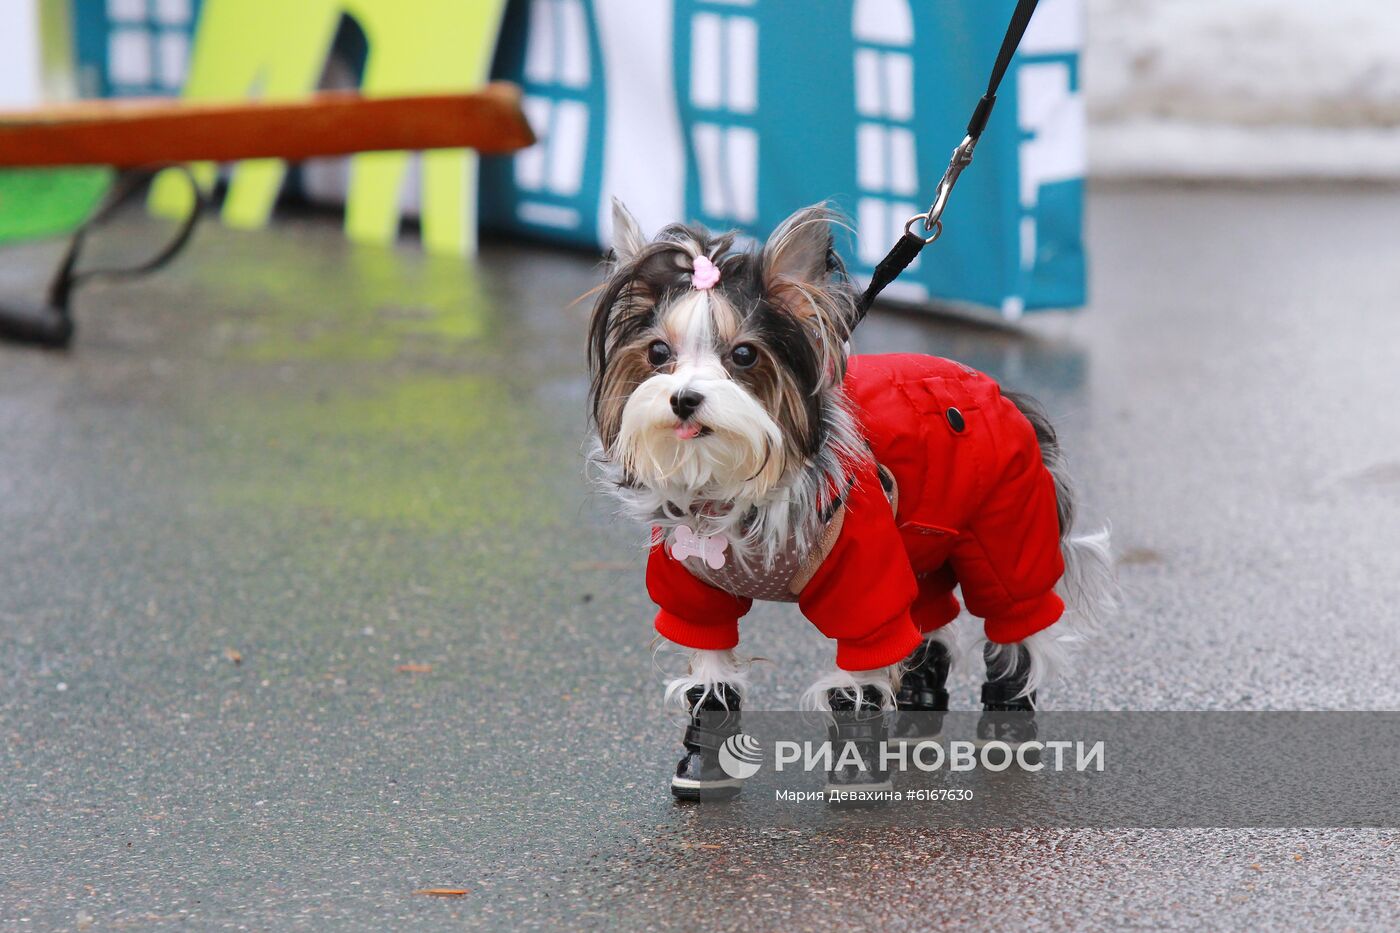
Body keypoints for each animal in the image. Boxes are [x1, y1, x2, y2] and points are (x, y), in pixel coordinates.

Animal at [582, 200, 1114, 795]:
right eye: (657, 352)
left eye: (743, 355)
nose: (683, 399)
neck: (735, 483)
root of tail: (1002, 392)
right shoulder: (693, 592)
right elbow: (711, 672)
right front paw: (706, 762)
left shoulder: (866, 578)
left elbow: (859, 674)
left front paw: (858, 767)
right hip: (924, 545)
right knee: (928, 616)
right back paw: (916, 713)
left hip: (1007, 528)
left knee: (1015, 619)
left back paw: (1007, 725)